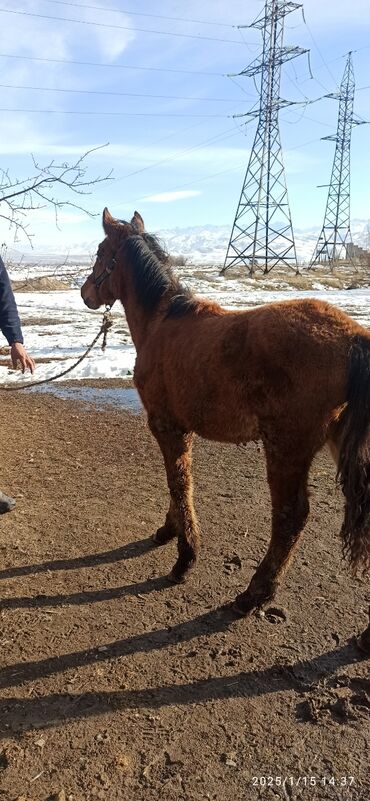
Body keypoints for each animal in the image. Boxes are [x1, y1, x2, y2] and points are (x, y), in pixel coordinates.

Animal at [81, 208, 370, 648]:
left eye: (101, 252)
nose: (85, 293)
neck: (162, 322)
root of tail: (355, 338)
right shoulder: (180, 428)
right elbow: (179, 482)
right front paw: (168, 531)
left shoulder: (167, 426)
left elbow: (179, 483)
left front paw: (185, 560)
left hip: (286, 449)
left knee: (290, 517)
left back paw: (252, 596)